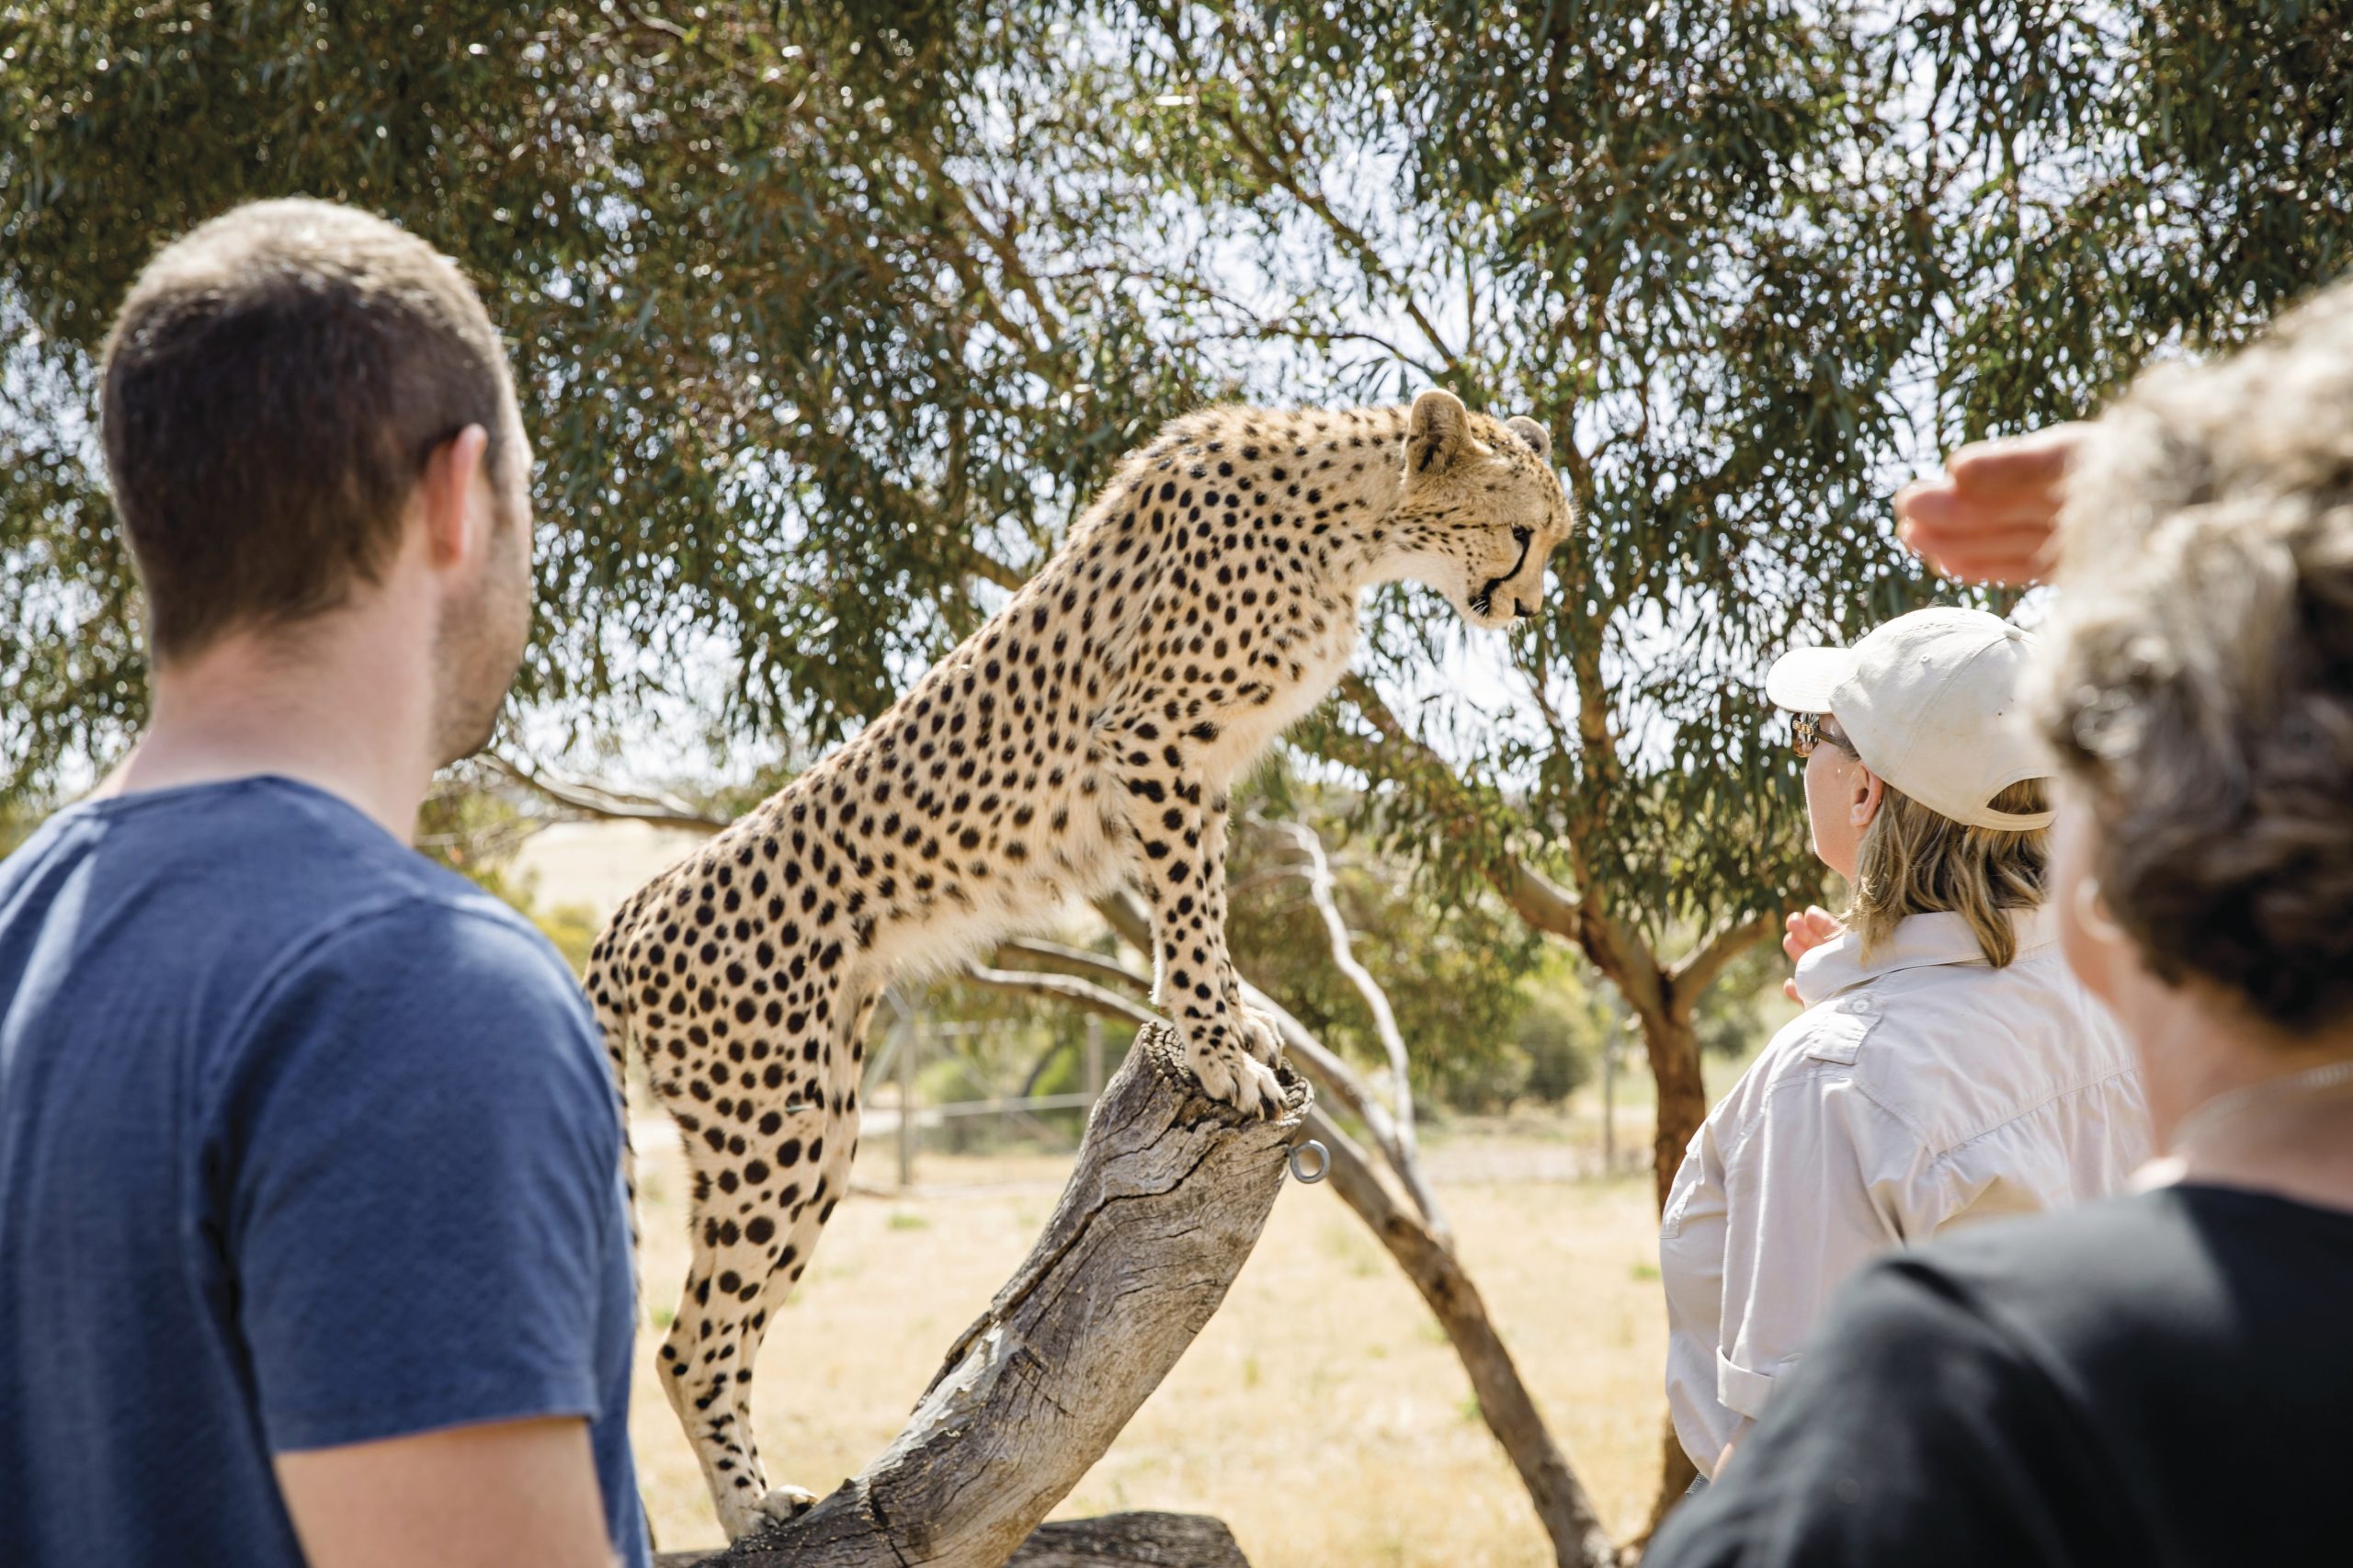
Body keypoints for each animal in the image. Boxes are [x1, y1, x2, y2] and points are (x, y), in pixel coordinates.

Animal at [585, 383, 1572, 1535]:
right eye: (1522, 531)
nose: (1529, 609)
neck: (1351, 520)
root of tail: (635, 904)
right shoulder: (1154, 738)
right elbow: (1187, 905)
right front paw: (1216, 1049)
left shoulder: (1197, 764)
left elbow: (1202, 905)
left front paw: (1232, 1019)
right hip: (770, 1125)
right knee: (687, 1341)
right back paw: (751, 1511)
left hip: (818, 1117)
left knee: (709, 1327)